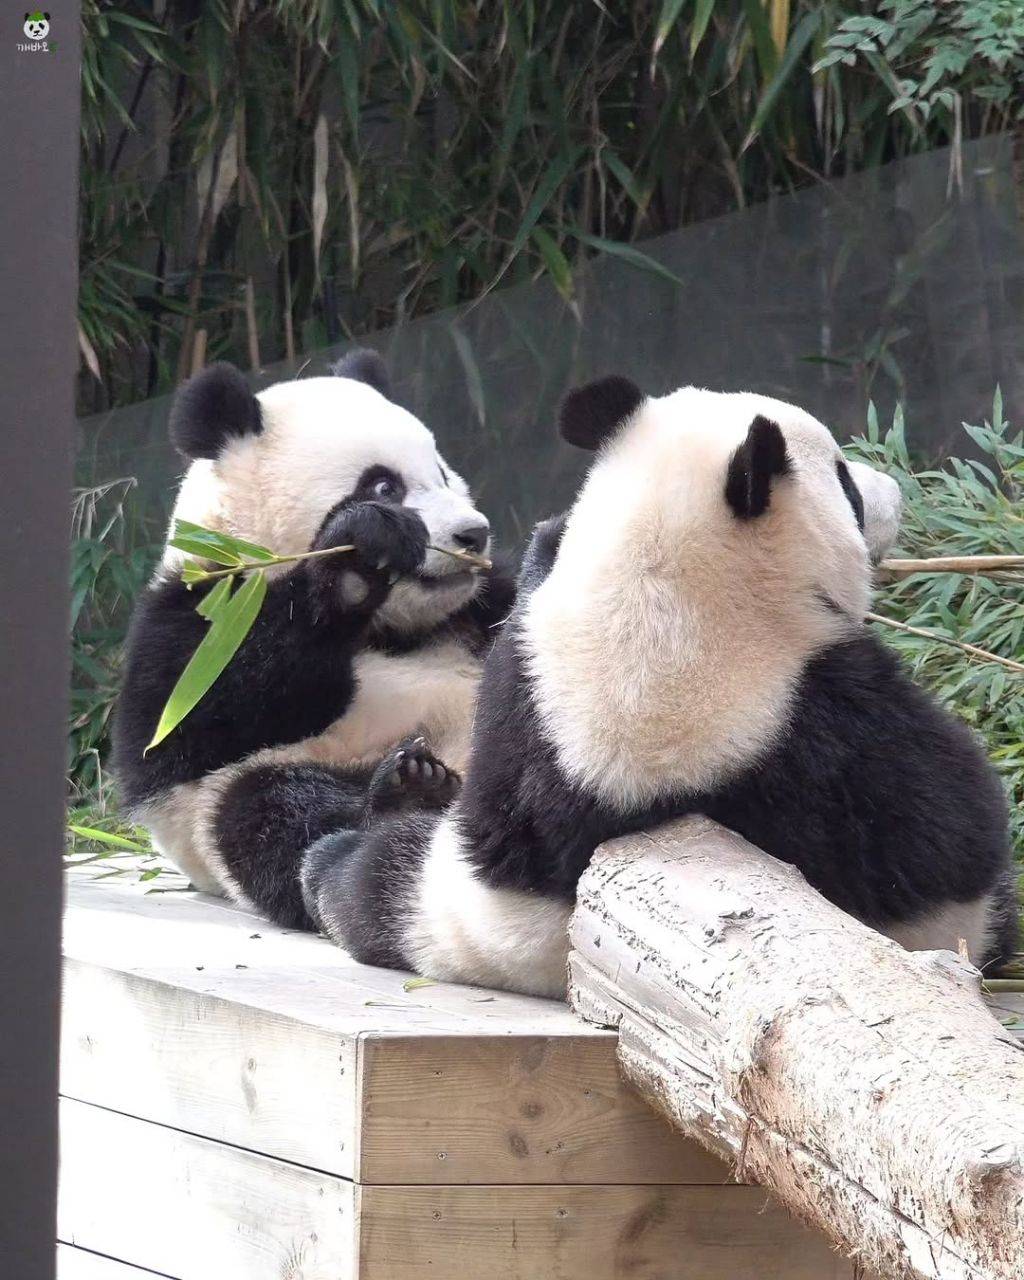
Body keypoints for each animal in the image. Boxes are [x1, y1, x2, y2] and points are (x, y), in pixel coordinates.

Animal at [112, 353, 517, 931]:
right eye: (383, 486)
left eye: (442, 473)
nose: (473, 534)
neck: (394, 627)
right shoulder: (199, 612)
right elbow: (193, 724)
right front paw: (359, 558)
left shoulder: (482, 604)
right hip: (241, 795)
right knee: (275, 813)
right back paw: (409, 792)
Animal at [302, 373, 1013, 993]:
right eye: (844, 483)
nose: (892, 488)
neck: (654, 594)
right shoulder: (835, 726)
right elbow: (959, 831)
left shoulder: (519, 686)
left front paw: (547, 540)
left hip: (447, 896)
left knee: (353, 876)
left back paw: (404, 793)